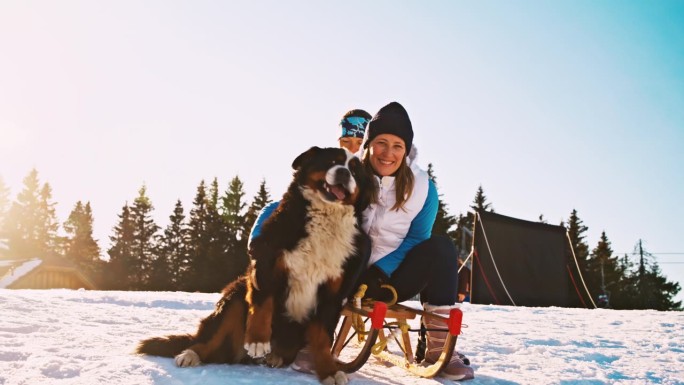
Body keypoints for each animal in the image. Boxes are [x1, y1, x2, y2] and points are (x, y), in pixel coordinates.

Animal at [138, 146, 374, 382]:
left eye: (355, 172)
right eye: (332, 162)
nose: (344, 173)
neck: (324, 218)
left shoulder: (333, 293)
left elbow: (323, 338)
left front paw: (329, 371)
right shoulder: (266, 261)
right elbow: (262, 302)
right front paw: (258, 340)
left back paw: (275, 357)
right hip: (235, 296)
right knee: (210, 338)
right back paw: (190, 354)